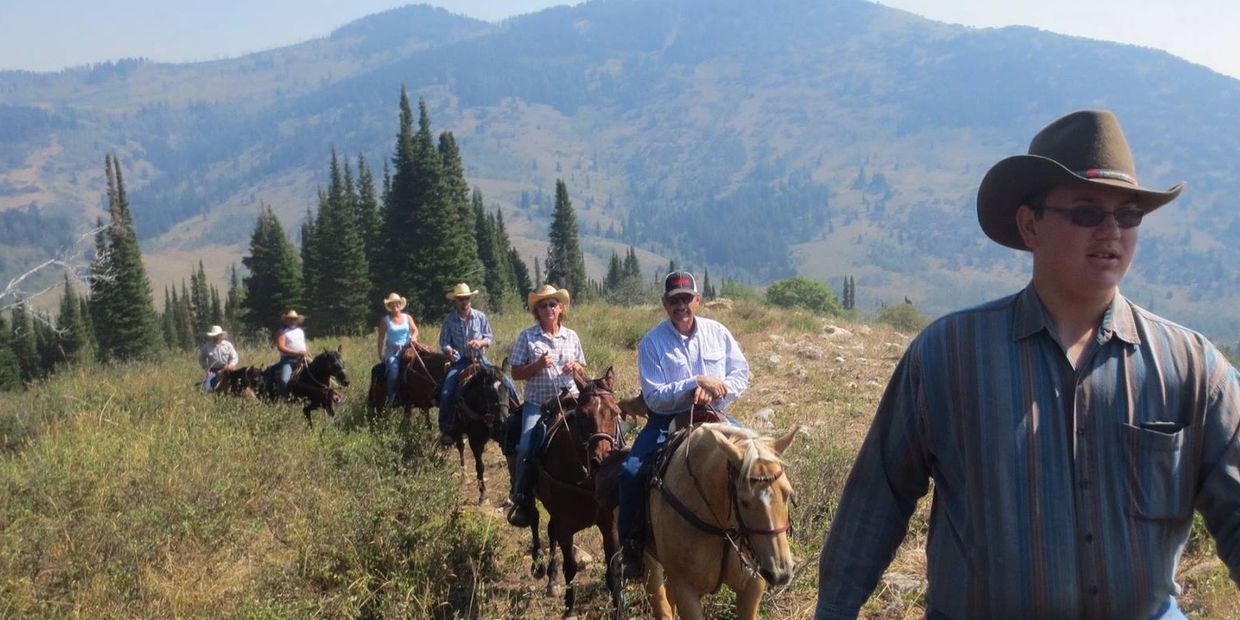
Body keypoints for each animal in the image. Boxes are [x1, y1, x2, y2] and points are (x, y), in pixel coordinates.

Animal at [530, 364, 629, 617]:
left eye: (615, 413)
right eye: (583, 415)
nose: (601, 460)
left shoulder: (609, 524)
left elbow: (613, 568)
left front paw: (619, 609)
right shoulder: (566, 527)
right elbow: (571, 567)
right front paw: (570, 609)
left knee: (550, 530)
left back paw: (552, 579)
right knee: (538, 524)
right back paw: (542, 570)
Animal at [639, 424, 803, 617]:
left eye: (788, 494)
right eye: (744, 501)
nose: (780, 573)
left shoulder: (753, 586)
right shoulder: (685, 591)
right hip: (650, 562)